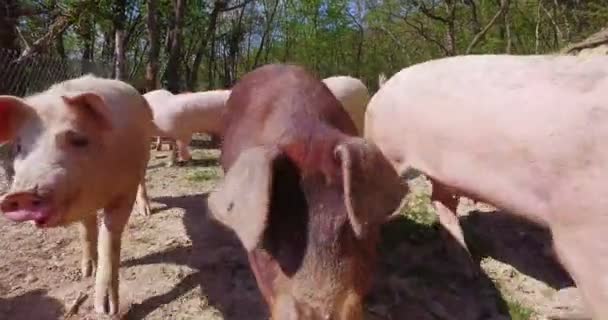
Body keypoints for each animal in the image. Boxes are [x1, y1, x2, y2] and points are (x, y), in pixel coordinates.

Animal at [0, 74, 154, 316]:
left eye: (78, 139)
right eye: (18, 147)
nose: (21, 194)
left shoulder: (124, 191)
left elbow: (109, 239)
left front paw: (106, 310)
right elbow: (86, 231)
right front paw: (86, 272)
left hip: (145, 154)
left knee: (143, 180)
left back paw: (146, 212)